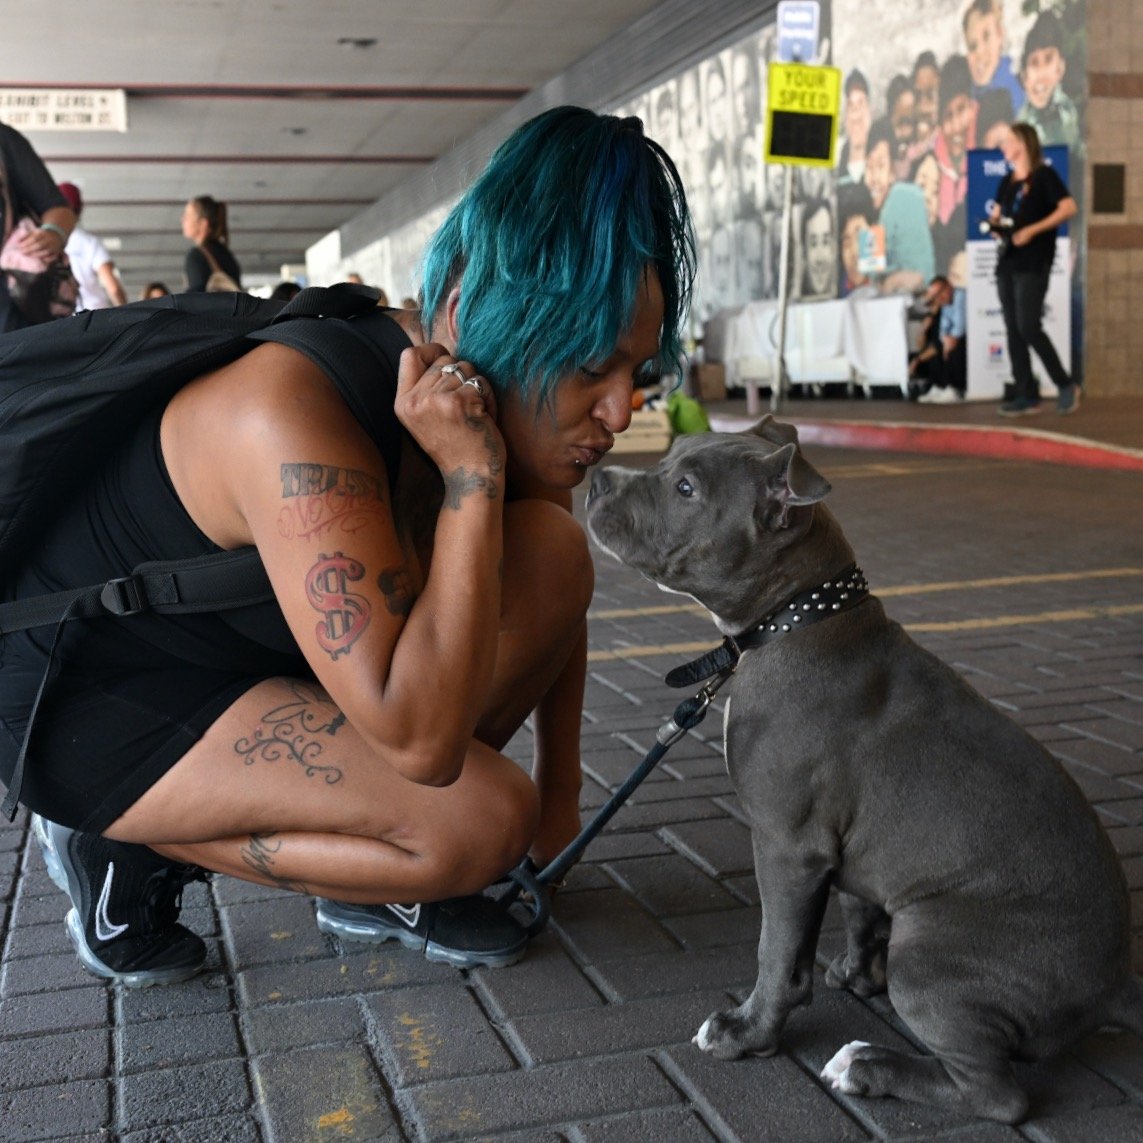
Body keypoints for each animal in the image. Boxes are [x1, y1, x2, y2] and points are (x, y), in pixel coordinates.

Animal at [585, 416, 1138, 1120]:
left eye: (686, 487)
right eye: (673, 454)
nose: (596, 478)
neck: (795, 619)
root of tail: (1115, 985)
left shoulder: (787, 846)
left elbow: (775, 950)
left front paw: (748, 1031)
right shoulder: (842, 851)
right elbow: (855, 911)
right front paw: (854, 974)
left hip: (929, 952)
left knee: (998, 1095)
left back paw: (868, 1066)